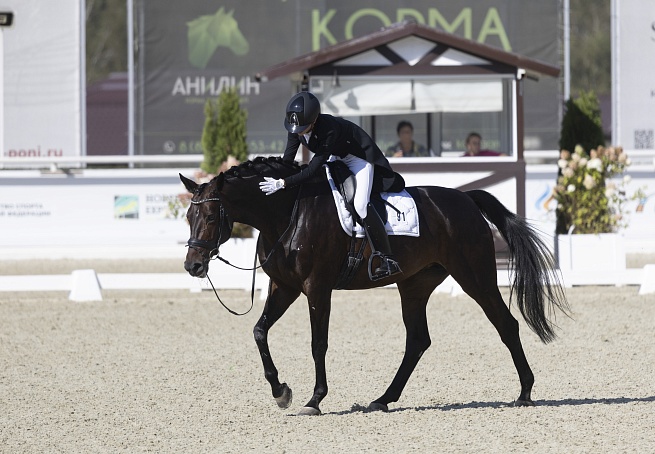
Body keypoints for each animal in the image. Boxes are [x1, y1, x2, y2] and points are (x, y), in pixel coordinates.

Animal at [181, 156, 568, 414]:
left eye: (211, 216)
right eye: (188, 216)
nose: (193, 265)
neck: (287, 214)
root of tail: (466, 198)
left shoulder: (316, 288)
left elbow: (318, 343)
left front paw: (314, 399)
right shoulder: (284, 287)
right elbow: (259, 331)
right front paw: (281, 391)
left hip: (475, 276)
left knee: (506, 324)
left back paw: (525, 393)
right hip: (414, 285)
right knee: (418, 341)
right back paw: (383, 399)